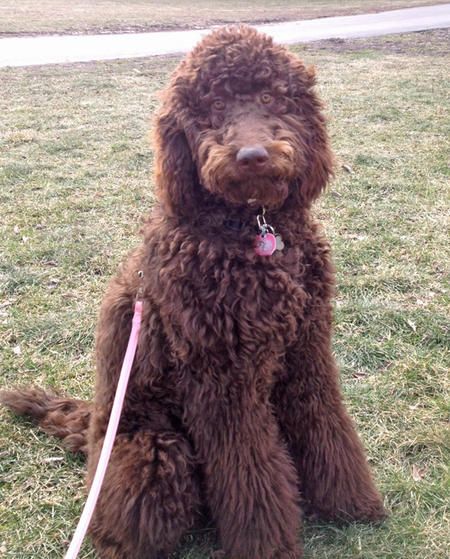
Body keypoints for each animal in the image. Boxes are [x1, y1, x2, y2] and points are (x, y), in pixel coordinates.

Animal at [1, 25, 384, 559]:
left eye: (271, 97)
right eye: (215, 106)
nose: (252, 156)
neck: (249, 228)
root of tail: (93, 430)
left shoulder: (307, 347)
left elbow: (325, 422)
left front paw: (351, 504)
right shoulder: (222, 376)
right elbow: (249, 468)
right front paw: (267, 546)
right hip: (156, 453)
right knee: (120, 528)